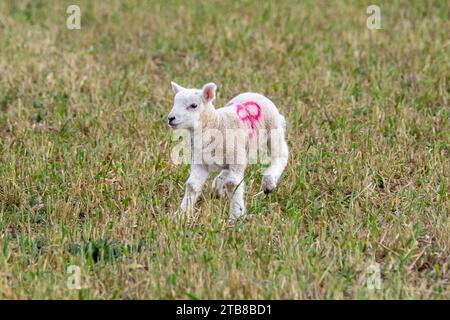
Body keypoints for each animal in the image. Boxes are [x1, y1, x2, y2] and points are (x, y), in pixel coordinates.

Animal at [168, 81, 288, 224]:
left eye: (193, 105)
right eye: (175, 102)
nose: (170, 118)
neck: (217, 122)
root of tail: (256, 94)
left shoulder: (236, 158)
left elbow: (232, 185)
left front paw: (236, 218)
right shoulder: (200, 162)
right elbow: (192, 185)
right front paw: (180, 215)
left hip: (273, 131)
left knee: (281, 155)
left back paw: (268, 182)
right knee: (226, 171)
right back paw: (217, 187)